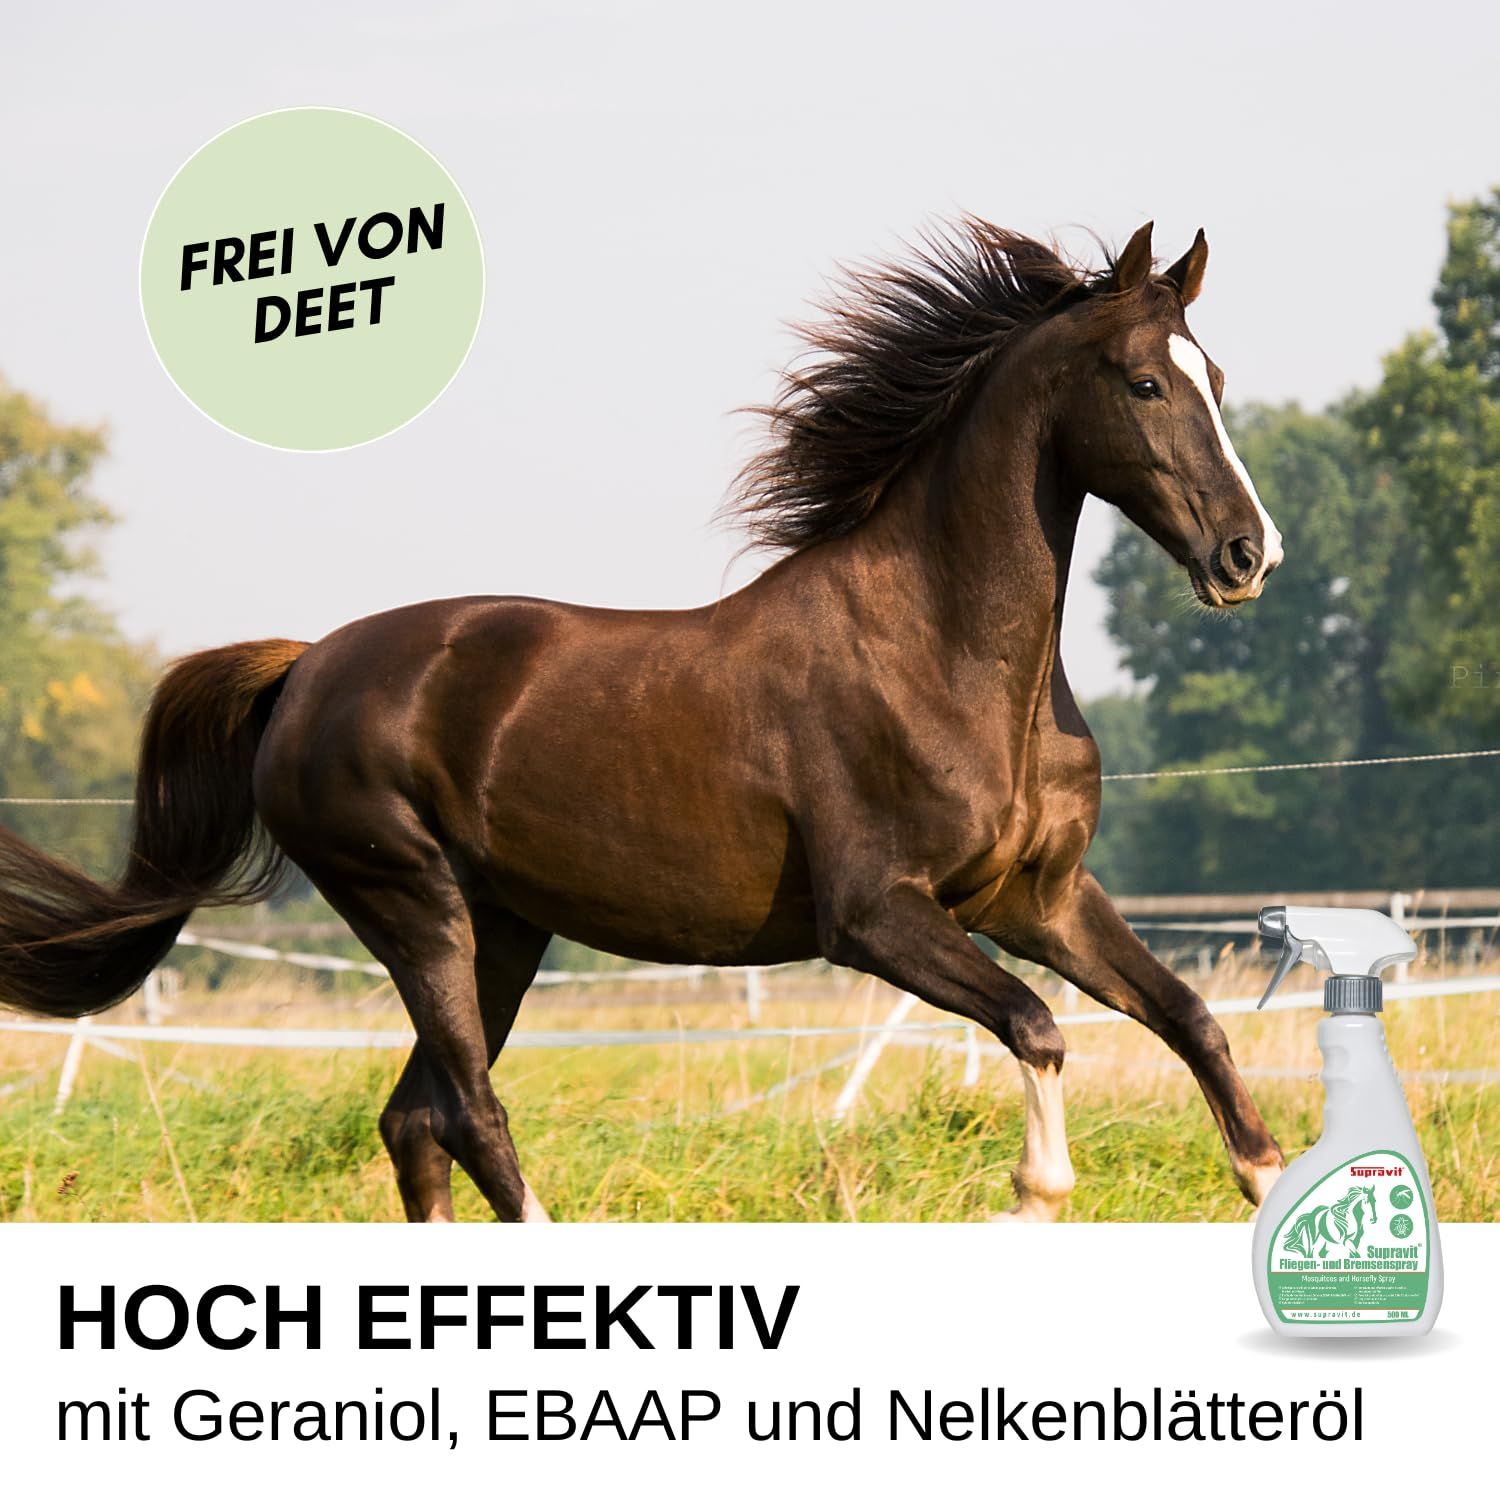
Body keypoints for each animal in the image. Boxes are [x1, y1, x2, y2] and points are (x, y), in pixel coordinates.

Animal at [0, 217, 1287, 1223]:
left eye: (1218, 380)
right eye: (1145, 382)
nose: (1248, 555)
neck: (946, 656)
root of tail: (306, 667)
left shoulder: (1041, 899)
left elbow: (1190, 1019)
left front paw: (1276, 1186)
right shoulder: (875, 917)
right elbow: (1037, 1027)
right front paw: (1035, 1196)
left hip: (502, 930)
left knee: (415, 1122)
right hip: (414, 908)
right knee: (471, 1116)